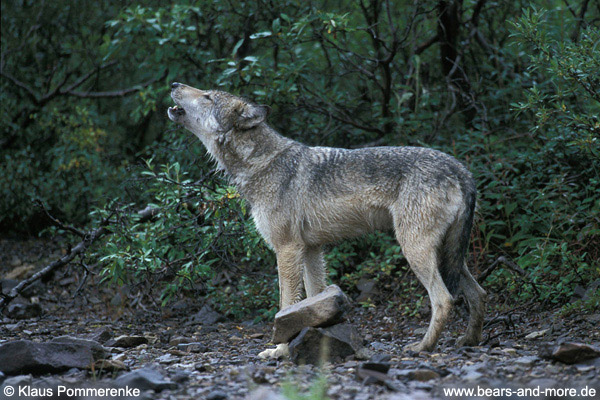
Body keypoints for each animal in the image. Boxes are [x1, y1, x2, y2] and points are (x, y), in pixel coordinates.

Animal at [166, 83, 486, 358]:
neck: (261, 164)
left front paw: (280, 351)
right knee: (478, 293)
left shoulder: (287, 249)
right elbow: (310, 302)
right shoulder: (310, 250)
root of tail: (460, 168)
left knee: (444, 299)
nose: (174, 84)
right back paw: (469, 341)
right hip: (448, 255)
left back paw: (423, 347)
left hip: (414, 250)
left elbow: (284, 306)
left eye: (207, 96)